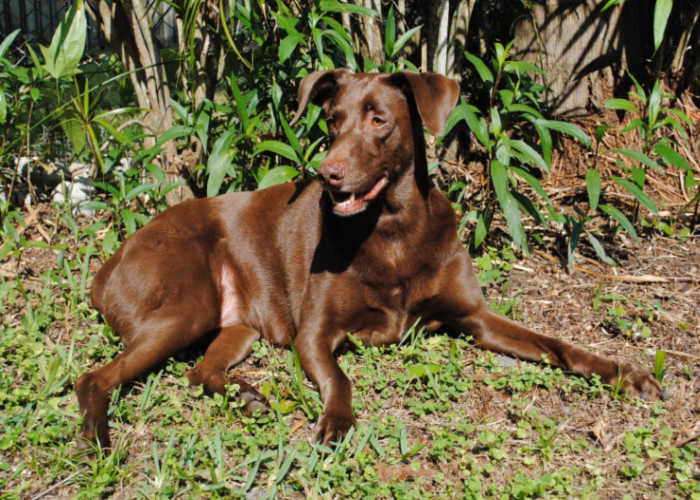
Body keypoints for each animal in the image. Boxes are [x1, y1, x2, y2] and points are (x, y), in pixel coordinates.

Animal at [76, 69, 660, 446]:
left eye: (379, 119)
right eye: (332, 120)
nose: (327, 174)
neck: (394, 228)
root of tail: (110, 262)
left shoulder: (476, 316)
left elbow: (556, 344)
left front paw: (622, 372)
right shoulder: (315, 333)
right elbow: (340, 378)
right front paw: (336, 421)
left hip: (237, 326)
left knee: (200, 372)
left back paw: (248, 398)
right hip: (184, 306)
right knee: (93, 377)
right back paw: (99, 437)